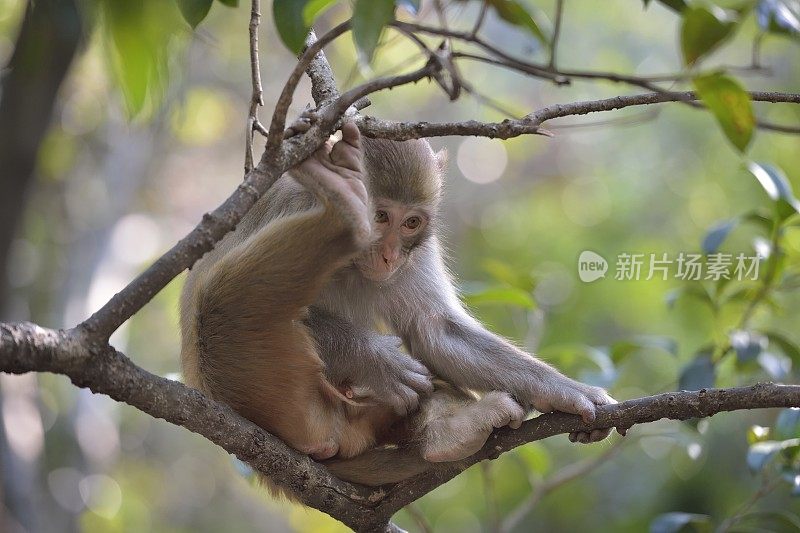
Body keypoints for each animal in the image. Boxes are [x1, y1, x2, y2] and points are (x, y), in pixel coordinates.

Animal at [180, 122, 612, 488]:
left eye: (411, 223)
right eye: (381, 216)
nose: (388, 256)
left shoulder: (417, 250)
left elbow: (434, 330)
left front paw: (566, 393)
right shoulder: (295, 204)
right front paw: (376, 360)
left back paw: (450, 435)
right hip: (252, 375)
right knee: (222, 300)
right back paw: (344, 209)